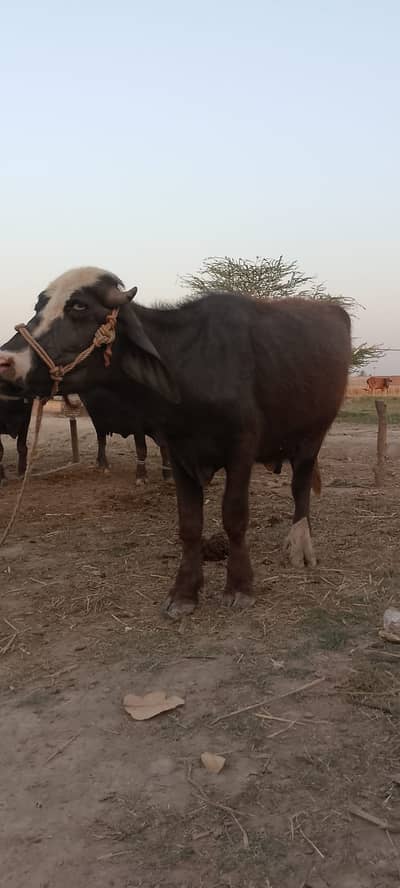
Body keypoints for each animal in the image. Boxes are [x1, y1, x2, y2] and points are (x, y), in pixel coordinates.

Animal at [0, 267, 351, 617]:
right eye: (38, 307)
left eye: (79, 306)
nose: (6, 363)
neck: (190, 363)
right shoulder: (180, 451)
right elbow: (189, 523)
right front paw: (184, 592)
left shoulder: (242, 447)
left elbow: (234, 516)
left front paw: (239, 587)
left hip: (313, 435)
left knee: (300, 488)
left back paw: (300, 546)